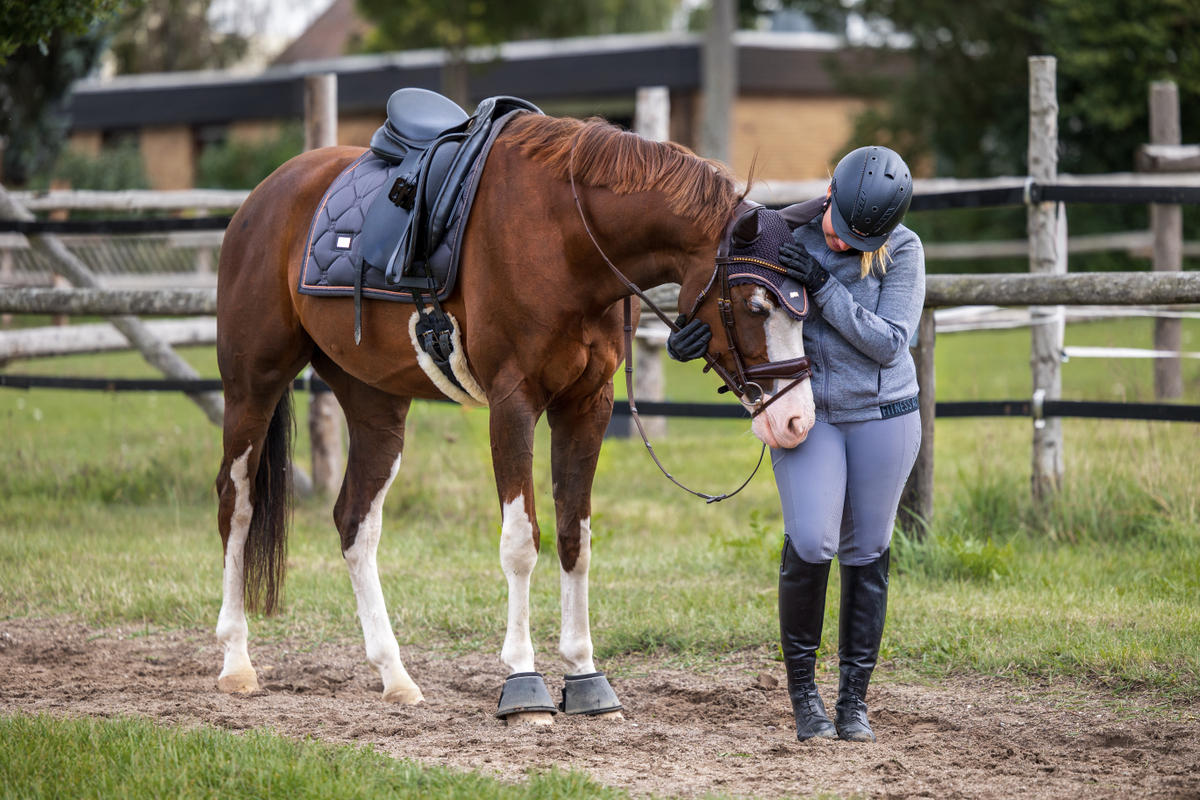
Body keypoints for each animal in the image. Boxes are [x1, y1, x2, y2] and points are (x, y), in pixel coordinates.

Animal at [213, 112, 816, 724]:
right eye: (756, 305)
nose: (797, 420)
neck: (568, 239)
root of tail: (266, 194)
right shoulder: (513, 402)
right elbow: (522, 542)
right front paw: (524, 682)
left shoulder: (587, 405)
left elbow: (575, 537)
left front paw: (585, 675)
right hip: (252, 387)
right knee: (237, 504)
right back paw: (237, 663)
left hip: (374, 404)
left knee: (355, 522)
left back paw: (395, 675)